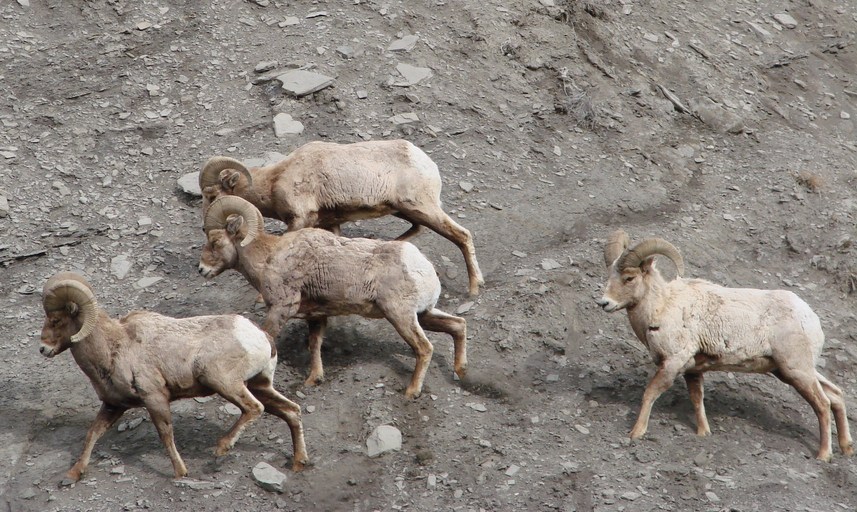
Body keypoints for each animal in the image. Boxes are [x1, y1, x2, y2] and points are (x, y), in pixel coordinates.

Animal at [38, 272, 309, 483]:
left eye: (56, 320)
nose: (42, 349)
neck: (113, 348)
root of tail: (261, 337)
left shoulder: (155, 398)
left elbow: (165, 434)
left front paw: (181, 472)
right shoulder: (114, 406)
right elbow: (92, 434)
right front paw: (73, 474)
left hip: (222, 381)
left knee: (253, 408)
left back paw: (222, 447)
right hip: (260, 385)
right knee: (291, 411)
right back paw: (298, 462)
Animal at [197, 195, 467, 399]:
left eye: (215, 241)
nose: (201, 269)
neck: (269, 258)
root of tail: (424, 269)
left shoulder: (281, 309)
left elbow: (270, 339)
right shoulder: (316, 316)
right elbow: (314, 345)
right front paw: (313, 380)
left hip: (400, 316)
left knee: (424, 348)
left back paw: (412, 392)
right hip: (424, 314)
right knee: (458, 326)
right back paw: (461, 371)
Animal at [198, 139, 484, 296]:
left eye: (211, 195)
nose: (204, 227)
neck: (275, 180)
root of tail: (427, 164)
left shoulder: (299, 220)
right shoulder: (331, 224)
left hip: (421, 207)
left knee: (461, 235)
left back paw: (474, 288)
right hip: (408, 211)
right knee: (418, 230)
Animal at [596, 230, 853, 461]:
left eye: (629, 278)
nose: (604, 303)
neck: (662, 307)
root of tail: (810, 318)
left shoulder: (672, 363)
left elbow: (650, 394)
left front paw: (636, 433)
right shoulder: (692, 370)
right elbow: (697, 399)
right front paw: (703, 433)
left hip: (796, 370)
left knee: (823, 403)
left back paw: (824, 456)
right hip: (790, 371)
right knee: (836, 395)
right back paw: (847, 448)